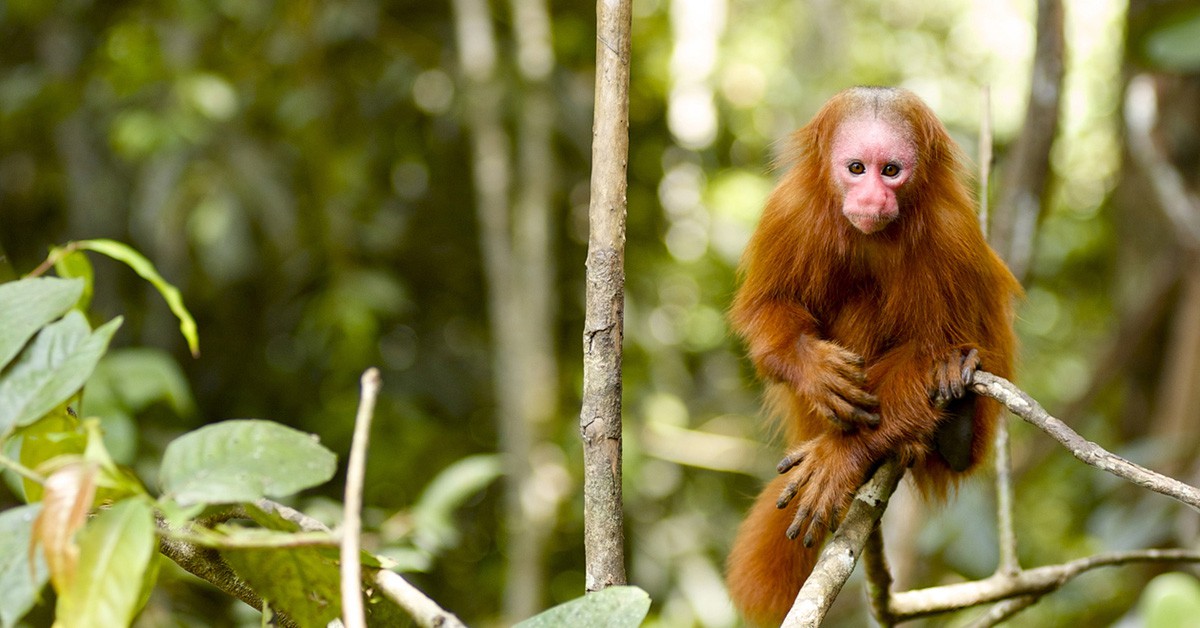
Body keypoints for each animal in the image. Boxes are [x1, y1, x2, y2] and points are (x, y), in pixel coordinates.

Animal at [724, 86, 1020, 625]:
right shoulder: (788, 211)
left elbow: (929, 351)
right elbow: (766, 310)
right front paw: (815, 369)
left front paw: (841, 457)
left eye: (892, 171)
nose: (873, 197)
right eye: (857, 168)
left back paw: (952, 428)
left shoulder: (950, 232)